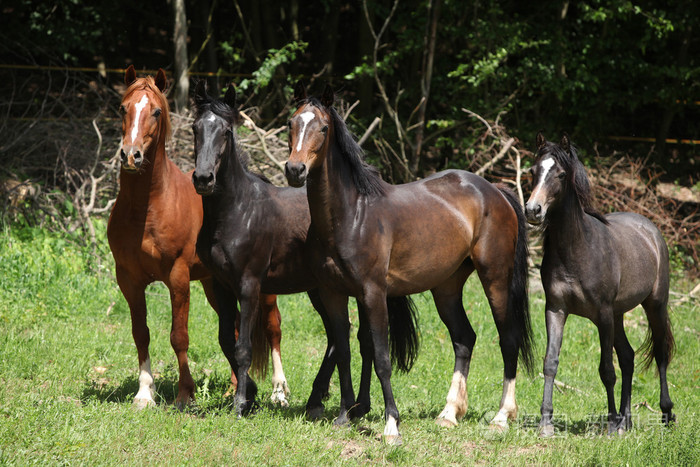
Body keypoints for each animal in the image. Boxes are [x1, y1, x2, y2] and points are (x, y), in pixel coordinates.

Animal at [106, 66, 288, 410]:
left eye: (156, 111)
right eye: (123, 109)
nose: (131, 155)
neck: (147, 209)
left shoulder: (177, 277)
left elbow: (179, 336)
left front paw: (185, 394)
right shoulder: (129, 280)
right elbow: (140, 333)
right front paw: (144, 393)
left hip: (264, 289)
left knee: (273, 328)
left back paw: (278, 392)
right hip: (214, 285)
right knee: (234, 327)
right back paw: (236, 389)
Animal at [284, 86, 536, 448]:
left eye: (322, 127)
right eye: (291, 123)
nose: (295, 170)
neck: (350, 215)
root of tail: (496, 192)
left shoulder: (373, 293)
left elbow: (381, 357)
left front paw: (392, 425)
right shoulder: (333, 294)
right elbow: (343, 351)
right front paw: (345, 416)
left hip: (496, 280)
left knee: (508, 339)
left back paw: (502, 417)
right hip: (447, 288)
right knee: (464, 338)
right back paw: (449, 414)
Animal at [528, 133, 676, 438]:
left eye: (561, 174)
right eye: (533, 171)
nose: (533, 210)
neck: (577, 248)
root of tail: (651, 230)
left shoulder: (603, 315)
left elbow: (607, 370)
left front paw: (609, 423)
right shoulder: (556, 310)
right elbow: (550, 363)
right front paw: (546, 422)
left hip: (654, 306)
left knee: (659, 353)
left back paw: (665, 414)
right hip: (619, 315)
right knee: (629, 357)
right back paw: (626, 421)